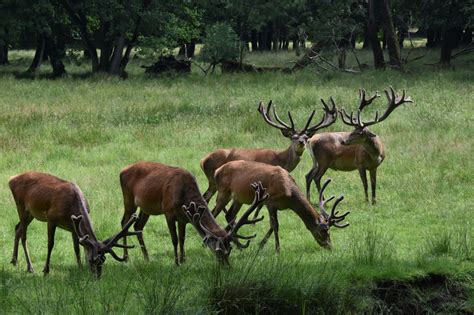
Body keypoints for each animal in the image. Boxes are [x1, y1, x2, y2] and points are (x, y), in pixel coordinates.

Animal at [8, 172, 139, 278]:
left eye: (103, 260)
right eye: (92, 260)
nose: (97, 277)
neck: (71, 207)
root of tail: (11, 179)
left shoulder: (73, 226)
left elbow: (76, 248)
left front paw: (80, 268)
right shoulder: (51, 219)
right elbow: (50, 244)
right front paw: (46, 271)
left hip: (31, 213)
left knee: (17, 228)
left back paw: (14, 260)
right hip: (21, 207)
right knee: (24, 235)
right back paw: (30, 267)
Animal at [118, 162, 266, 266]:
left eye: (229, 249)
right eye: (218, 251)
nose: (227, 265)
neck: (184, 196)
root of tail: (122, 170)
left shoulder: (183, 218)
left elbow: (182, 239)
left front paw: (183, 260)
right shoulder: (168, 212)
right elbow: (174, 239)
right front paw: (176, 263)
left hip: (146, 208)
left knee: (138, 226)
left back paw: (146, 257)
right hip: (128, 197)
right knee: (124, 222)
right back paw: (126, 257)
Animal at [200, 98, 336, 202]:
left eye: (306, 137)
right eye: (293, 137)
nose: (301, 142)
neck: (280, 159)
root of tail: (203, 161)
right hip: (213, 178)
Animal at [211, 160, 348, 252]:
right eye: (324, 231)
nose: (329, 246)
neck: (288, 195)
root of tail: (217, 171)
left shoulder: (276, 206)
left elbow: (272, 226)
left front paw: (260, 244)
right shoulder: (270, 202)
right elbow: (275, 226)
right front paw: (277, 249)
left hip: (238, 198)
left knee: (229, 215)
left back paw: (237, 244)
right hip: (223, 192)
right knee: (214, 212)